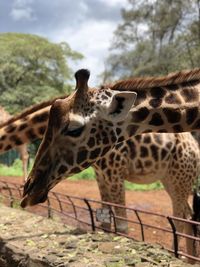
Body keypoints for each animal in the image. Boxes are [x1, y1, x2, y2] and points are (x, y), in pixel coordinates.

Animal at [0, 91, 198, 256]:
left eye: (74, 129)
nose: (28, 191)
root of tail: (196, 147)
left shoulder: (114, 172)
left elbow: (121, 223)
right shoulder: (101, 175)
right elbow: (105, 218)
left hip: (179, 179)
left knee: (180, 219)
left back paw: (178, 255)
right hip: (170, 180)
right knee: (188, 215)